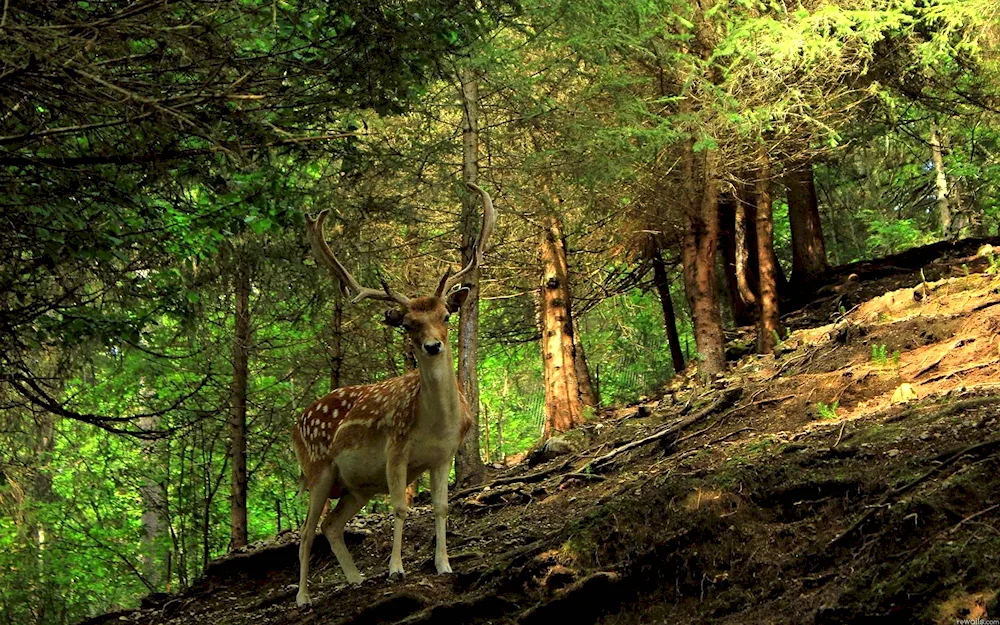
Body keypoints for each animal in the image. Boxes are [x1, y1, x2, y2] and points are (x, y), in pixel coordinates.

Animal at [292, 183, 494, 608]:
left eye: (445, 316)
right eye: (409, 324)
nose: (433, 346)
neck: (436, 425)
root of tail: (296, 422)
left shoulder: (443, 456)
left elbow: (441, 506)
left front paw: (444, 565)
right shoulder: (396, 448)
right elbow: (401, 508)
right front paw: (396, 569)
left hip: (356, 486)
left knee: (331, 525)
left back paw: (356, 579)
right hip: (318, 469)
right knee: (306, 531)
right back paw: (303, 597)